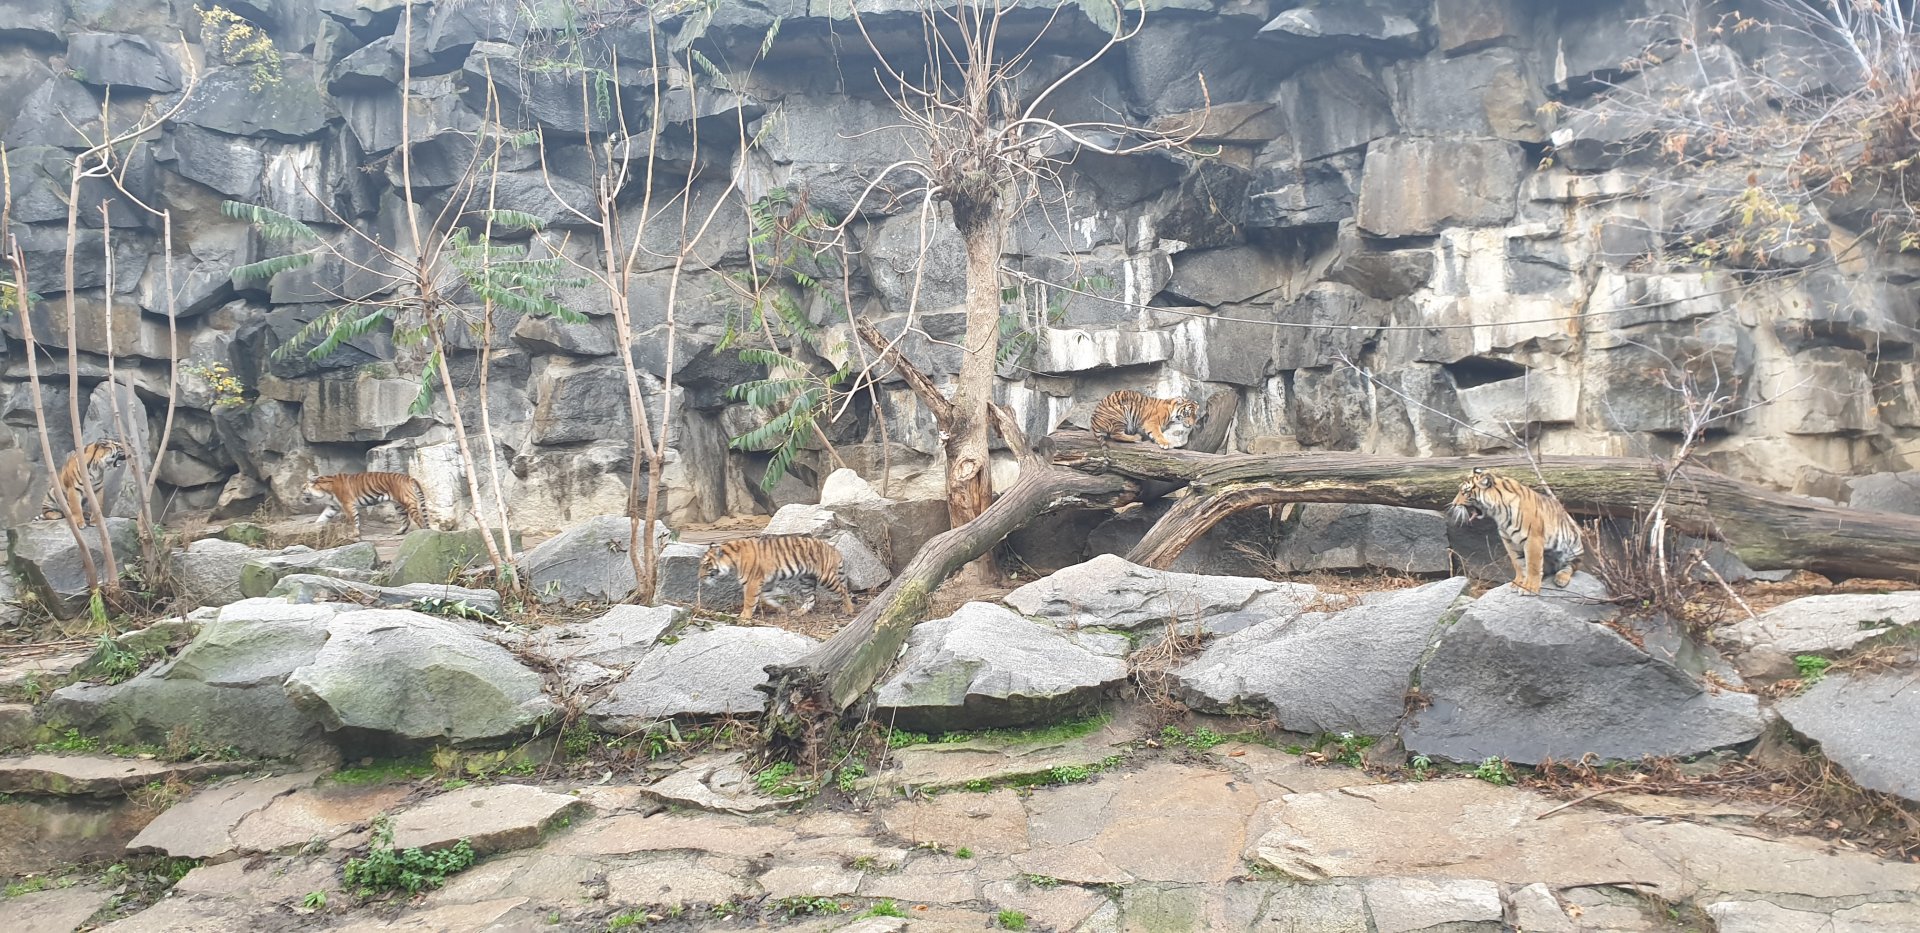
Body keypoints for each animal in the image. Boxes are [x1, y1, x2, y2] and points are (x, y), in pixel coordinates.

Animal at [696, 534, 854, 623]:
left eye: (705, 565)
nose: (699, 577)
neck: (732, 560)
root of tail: (834, 549)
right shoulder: (766, 582)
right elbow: (766, 597)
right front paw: (781, 607)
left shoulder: (752, 582)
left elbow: (749, 601)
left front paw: (744, 617)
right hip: (806, 579)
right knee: (811, 599)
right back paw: (798, 612)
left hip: (826, 577)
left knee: (843, 590)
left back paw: (849, 609)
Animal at [1445, 467, 1584, 596]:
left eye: (1465, 492)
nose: (1453, 504)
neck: (1499, 512)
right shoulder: (1508, 540)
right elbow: (1518, 563)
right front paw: (1518, 583)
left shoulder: (1533, 538)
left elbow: (1533, 565)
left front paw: (1529, 588)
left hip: (1573, 548)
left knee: (1571, 567)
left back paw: (1561, 579)